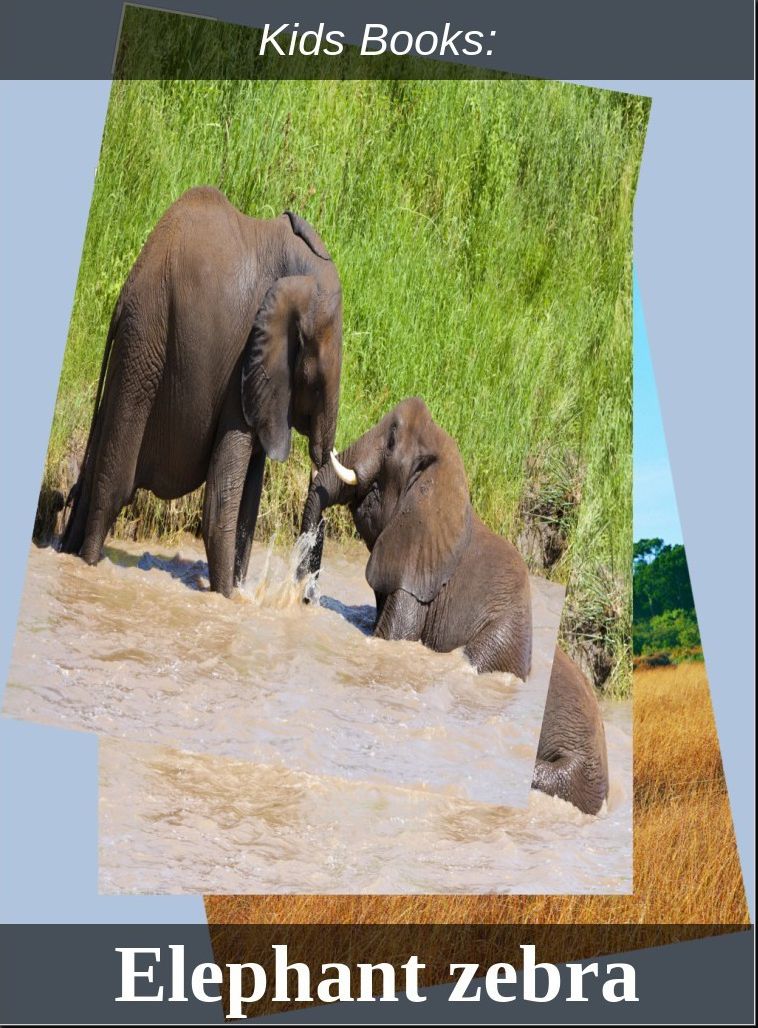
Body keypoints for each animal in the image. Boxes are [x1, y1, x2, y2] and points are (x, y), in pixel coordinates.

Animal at [61, 186, 342, 597]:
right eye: (319, 378)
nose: (306, 599)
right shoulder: (245, 362)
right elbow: (219, 508)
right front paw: (226, 599)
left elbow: (246, 512)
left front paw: (235, 596)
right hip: (144, 346)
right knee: (112, 489)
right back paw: (90, 564)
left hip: (129, 355)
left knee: (89, 483)